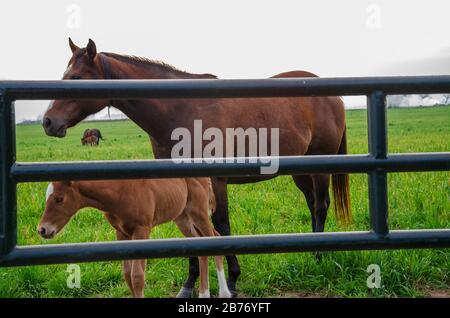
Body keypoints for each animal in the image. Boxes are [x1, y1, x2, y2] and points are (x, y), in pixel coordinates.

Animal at [37, 179, 232, 298]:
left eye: (59, 199)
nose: (42, 229)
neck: (120, 190)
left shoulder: (141, 230)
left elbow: (137, 276)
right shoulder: (121, 233)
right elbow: (127, 274)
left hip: (199, 213)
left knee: (215, 239)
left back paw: (224, 293)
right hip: (182, 218)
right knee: (202, 247)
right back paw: (204, 294)